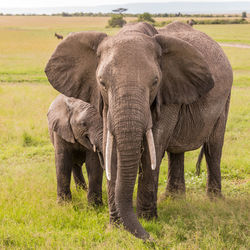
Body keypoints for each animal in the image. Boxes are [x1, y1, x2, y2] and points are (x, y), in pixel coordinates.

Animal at [44, 22, 232, 240]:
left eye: (155, 81)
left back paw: (214, 201)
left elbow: (154, 146)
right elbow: (110, 146)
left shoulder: (167, 92)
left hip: (225, 99)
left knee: (213, 148)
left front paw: (147, 220)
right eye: (102, 82)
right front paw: (116, 226)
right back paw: (174, 199)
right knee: (176, 152)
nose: (151, 238)